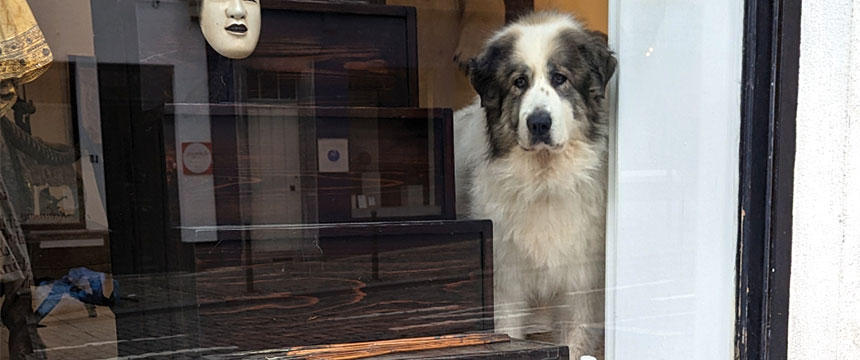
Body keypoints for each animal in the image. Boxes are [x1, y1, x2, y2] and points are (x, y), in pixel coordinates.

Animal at [454, 11, 616, 358]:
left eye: (560, 78)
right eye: (519, 82)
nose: (539, 123)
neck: (544, 180)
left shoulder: (580, 288)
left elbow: (574, 339)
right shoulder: (505, 287)